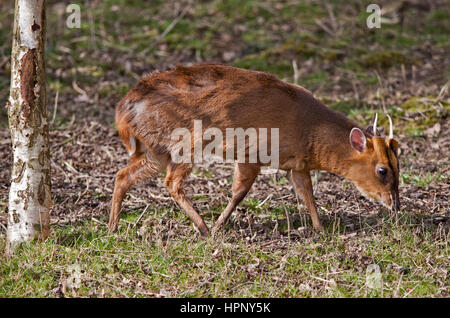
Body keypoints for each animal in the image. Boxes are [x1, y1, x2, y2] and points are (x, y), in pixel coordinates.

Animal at [108, 62, 400, 236]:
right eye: (382, 170)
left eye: (398, 167)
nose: (395, 205)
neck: (309, 129)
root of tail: (123, 108)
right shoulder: (252, 153)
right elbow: (239, 192)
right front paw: (218, 226)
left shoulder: (296, 165)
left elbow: (308, 194)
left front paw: (319, 228)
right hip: (184, 143)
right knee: (171, 182)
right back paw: (203, 228)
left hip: (155, 150)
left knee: (123, 176)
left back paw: (112, 227)